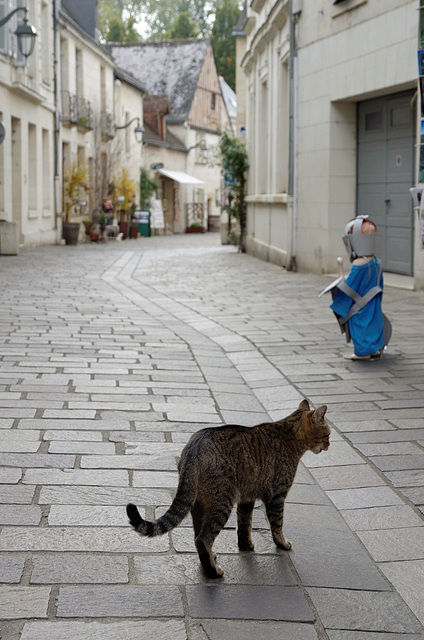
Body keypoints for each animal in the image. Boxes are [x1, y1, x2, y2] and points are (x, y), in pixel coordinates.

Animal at [127, 398, 330, 576]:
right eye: (327, 434)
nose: (329, 445)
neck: (289, 435)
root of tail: (194, 449)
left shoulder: (247, 498)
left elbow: (244, 525)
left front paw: (246, 546)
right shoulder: (277, 496)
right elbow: (277, 525)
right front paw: (282, 543)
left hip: (200, 504)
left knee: (197, 536)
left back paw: (210, 558)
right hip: (223, 501)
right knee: (203, 538)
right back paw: (213, 572)